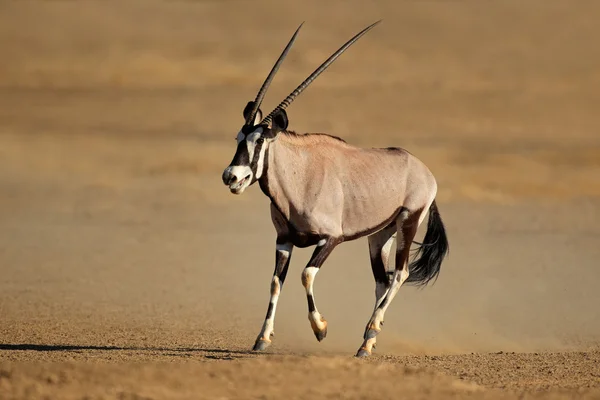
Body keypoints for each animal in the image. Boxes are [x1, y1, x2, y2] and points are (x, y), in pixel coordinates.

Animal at [223, 21, 448, 356]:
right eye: (239, 138)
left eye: (260, 140)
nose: (232, 176)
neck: (300, 175)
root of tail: (423, 170)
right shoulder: (283, 239)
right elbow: (276, 282)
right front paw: (262, 338)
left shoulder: (331, 238)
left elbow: (306, 274)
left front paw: (320, 329)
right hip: (379, 235)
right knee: (382, 281)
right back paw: (366, 344)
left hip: (408, 221)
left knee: (400, 274)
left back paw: (372, 329)